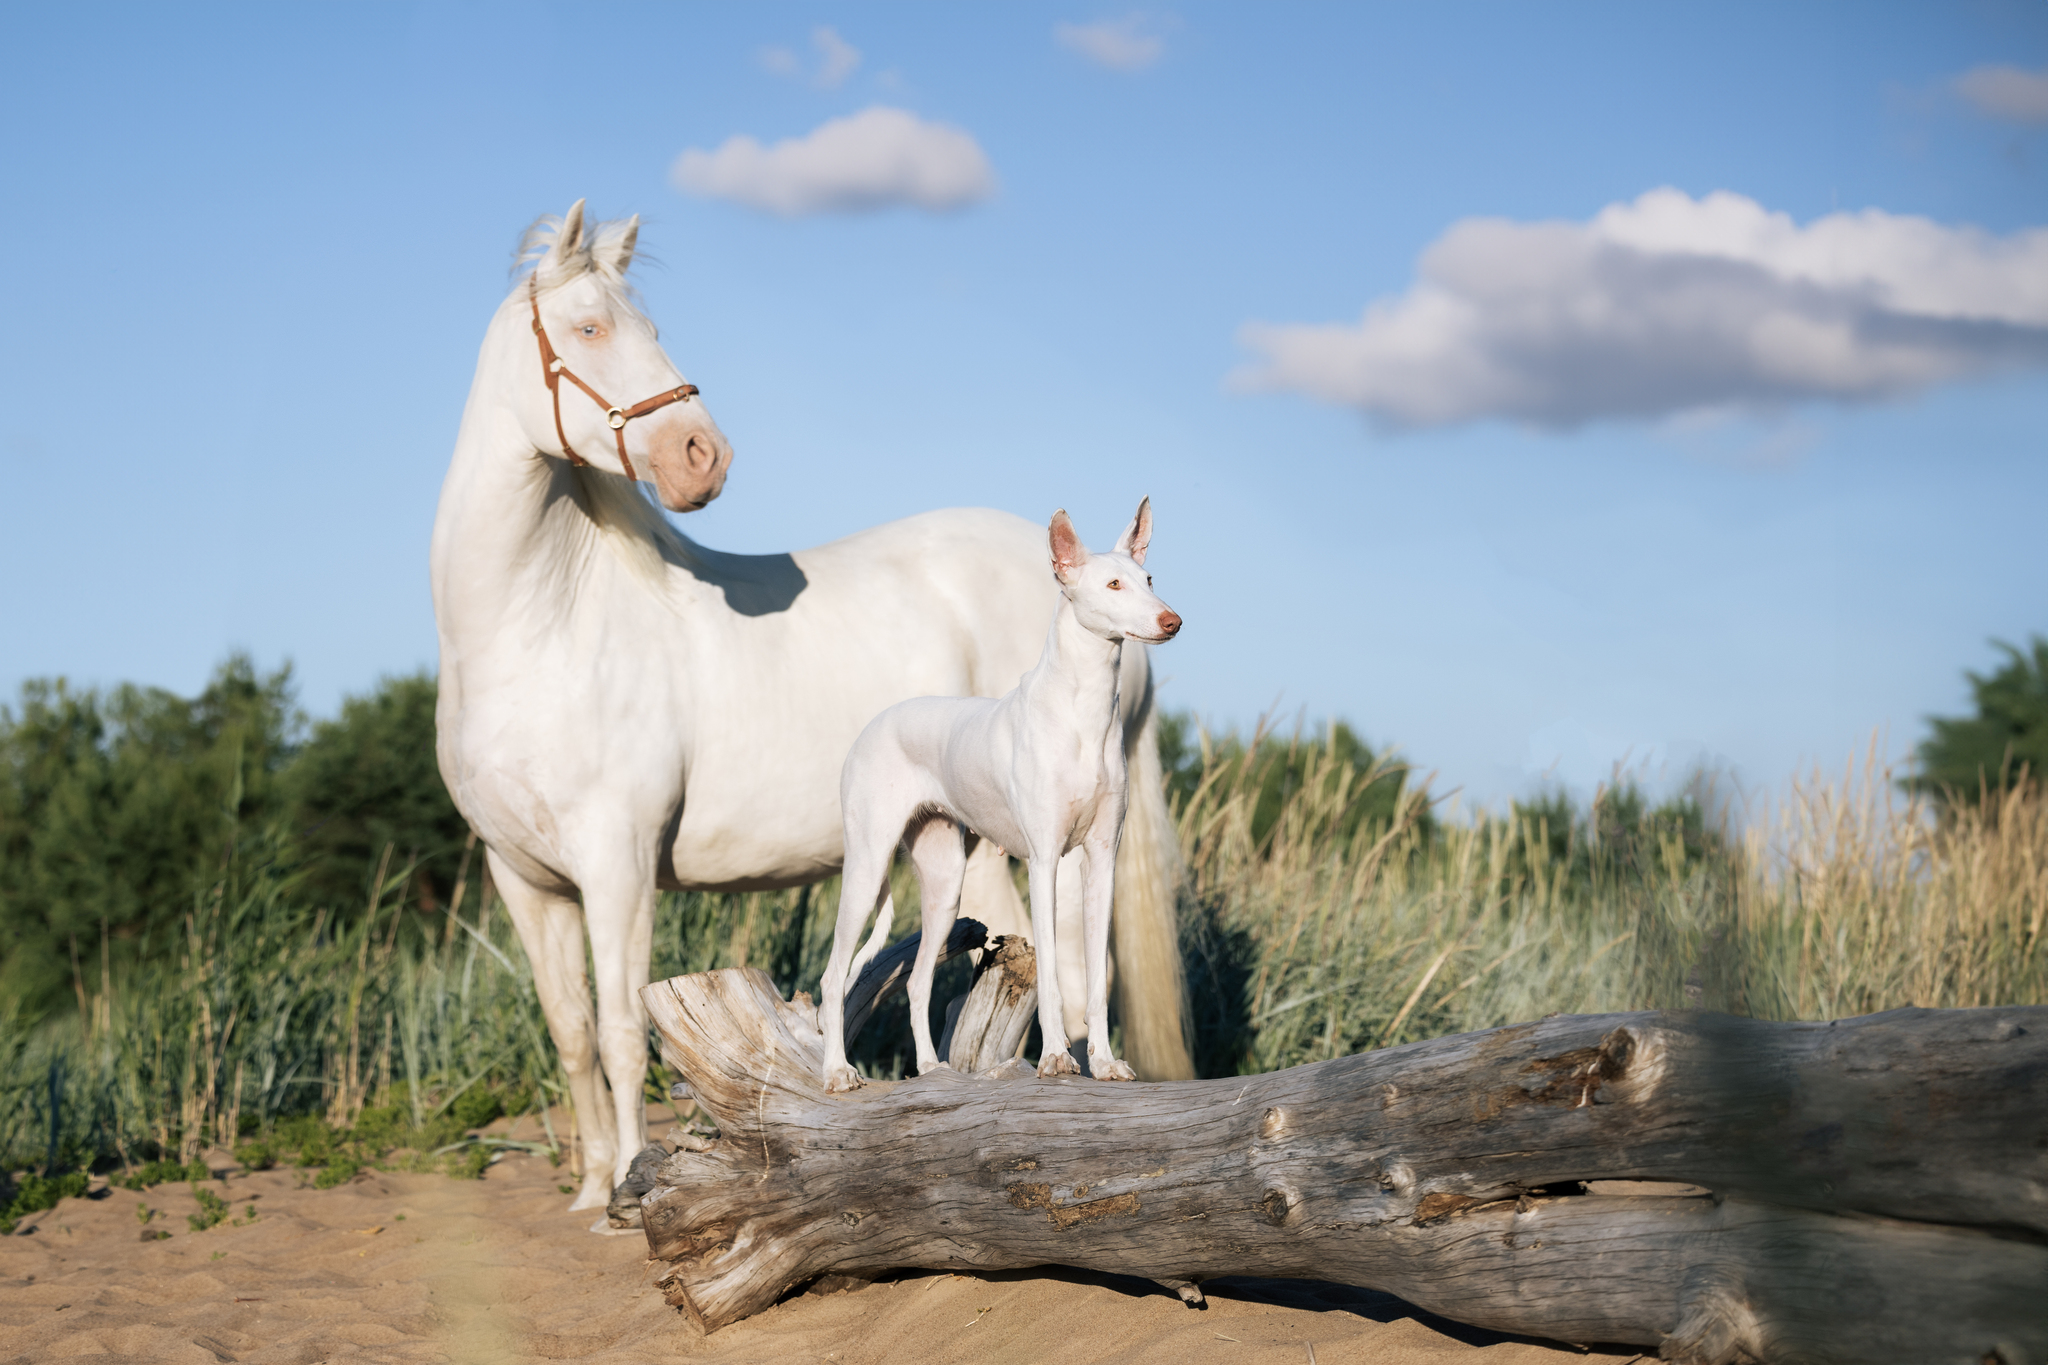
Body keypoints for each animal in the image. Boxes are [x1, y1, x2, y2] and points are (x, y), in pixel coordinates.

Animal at [819, 499, 1187, 1088]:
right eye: (1112, 584)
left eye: (1148, 580)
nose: (1171, 621)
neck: (1083, 714)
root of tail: (873, 725)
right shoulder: (1043, 861)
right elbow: (1055, 976)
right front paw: (1057, 1057)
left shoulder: (1101, 860)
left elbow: (1097, 982)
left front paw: (1104, 1062)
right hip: (867, 865)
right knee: (834, 978)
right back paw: (837, 1072)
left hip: (945, 883)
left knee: (917, 981)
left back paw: (931, 1068)